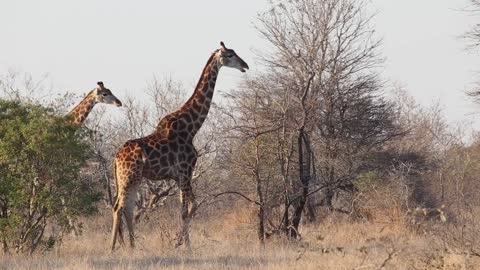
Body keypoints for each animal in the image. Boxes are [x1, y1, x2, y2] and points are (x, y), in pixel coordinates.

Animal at [110, 41, 249, 250]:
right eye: (230, 55)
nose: (245, 65)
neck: (192, 127)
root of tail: (116, 158)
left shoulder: (179, 176)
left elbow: (191, 207)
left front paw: (179, 242)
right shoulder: (185, 171)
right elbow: (186, 210)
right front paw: (186, 247)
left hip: (133, 178)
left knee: (126, 208)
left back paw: (133, 247)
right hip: (128, 177)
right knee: (118, 208)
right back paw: (112, 248)